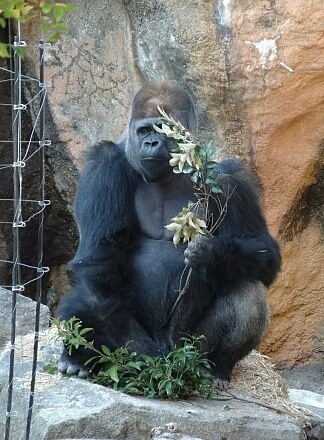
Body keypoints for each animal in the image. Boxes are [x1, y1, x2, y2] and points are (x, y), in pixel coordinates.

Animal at [57, 81, 280, 386]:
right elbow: (97, 263)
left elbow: (262, 249)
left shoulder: (228, 177)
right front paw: (81, 351)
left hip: (186, 348)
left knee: (248, 286)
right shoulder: (104, 163)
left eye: (162, 129)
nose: (151, 143)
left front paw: (216, 255)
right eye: (144, 131)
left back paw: (217, 368)